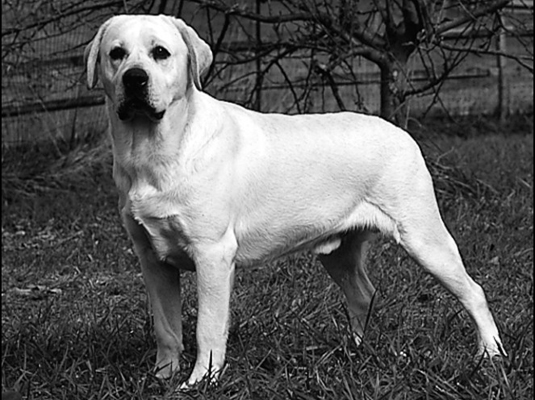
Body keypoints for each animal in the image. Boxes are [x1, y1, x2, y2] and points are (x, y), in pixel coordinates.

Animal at [85, 14, 506, 388]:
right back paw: (357, 352)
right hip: (339, 252)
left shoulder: (212, 254)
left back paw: (490, 354)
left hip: (424, 237)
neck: (154, 152)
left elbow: (208, 328)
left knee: (473, 292)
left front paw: (201, 381)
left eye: (161, 53)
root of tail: (401, 132)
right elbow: (166, 327)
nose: (134, 79)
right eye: (116, 54)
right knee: (363, 294)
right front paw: (162, 377)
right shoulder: (151, 258)